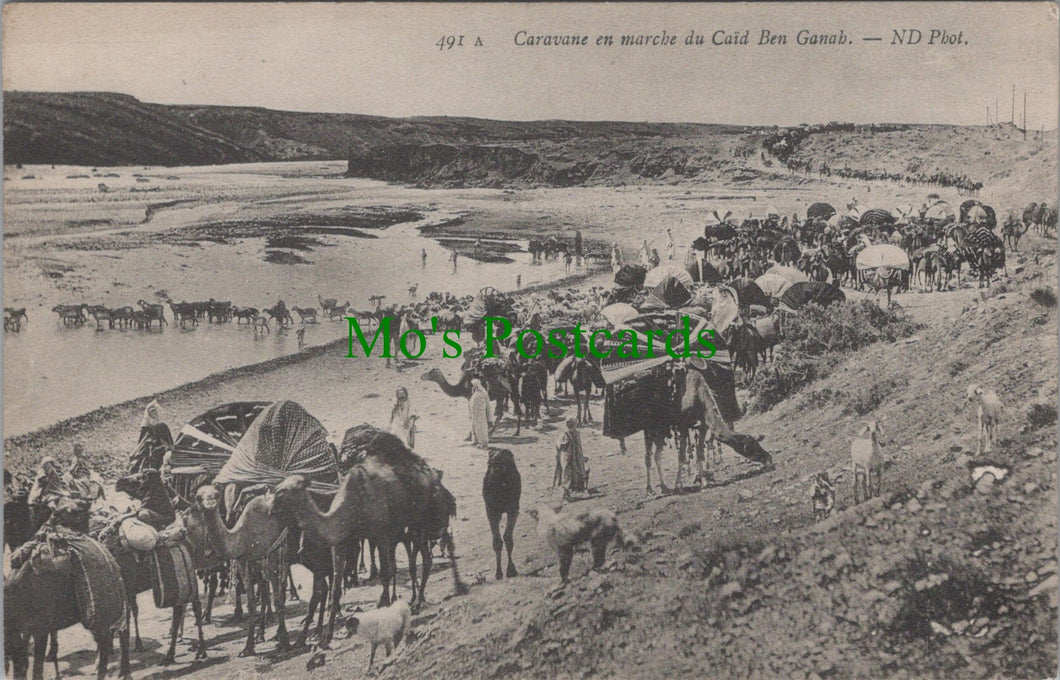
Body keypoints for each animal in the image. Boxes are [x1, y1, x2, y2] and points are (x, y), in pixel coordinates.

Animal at [192, 485, 292, 652]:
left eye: (217, 494)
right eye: (198, 496)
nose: (211, 503)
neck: (245, 533)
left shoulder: (271, 557)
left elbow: (278, 600)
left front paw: (284, 642)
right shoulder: (245, 562)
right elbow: (252, 604)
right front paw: (248, 647)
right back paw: (262, 634)